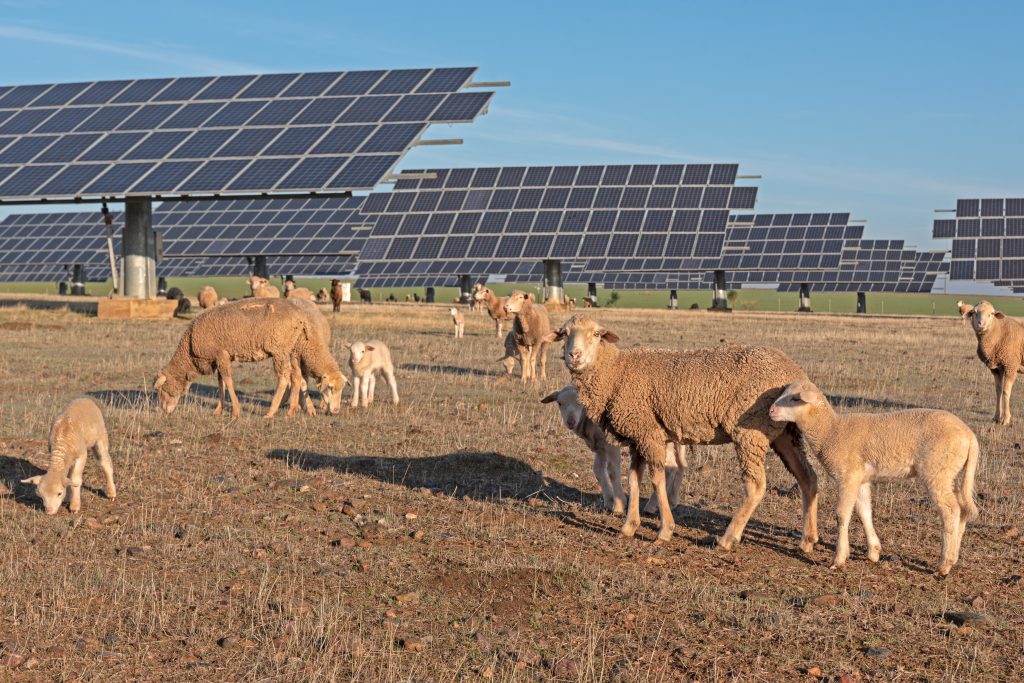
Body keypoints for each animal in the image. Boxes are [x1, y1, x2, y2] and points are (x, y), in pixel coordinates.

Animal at [154, 298, 309, 419]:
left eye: (161, 389)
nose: (164, 410)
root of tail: (301, 316)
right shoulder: (219, 358)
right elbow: (221, 382)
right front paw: (219, 410)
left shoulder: (221, 354)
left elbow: (228, 381)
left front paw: (235, 411)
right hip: (292, 349)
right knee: (296, 375)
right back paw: (291, 411)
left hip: (279, 350)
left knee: (284, 377)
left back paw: (271, 412)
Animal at [541, 385, 687, 515]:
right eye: (560, 403)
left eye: (580, 402)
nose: (570, 422)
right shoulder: (600, 446)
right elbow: (598, 470)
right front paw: (609, 501)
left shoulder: (610, 444)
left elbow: (612, 471)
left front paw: (619, 505)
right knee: (681, 465)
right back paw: (672, 501)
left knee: (670, 467)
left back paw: (651, 505)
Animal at [769, 380, 979, 575]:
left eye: (795, 399)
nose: (771, 411)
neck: (831, 431)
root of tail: (970, 437)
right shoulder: (861, 479)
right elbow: (864, 512)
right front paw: (873, 551)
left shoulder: (848, 476)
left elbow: (842, 515)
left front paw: (838, 559)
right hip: (953, 473)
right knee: (962, 509)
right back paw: (954, 557)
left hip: (937, 470)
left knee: (950, 511)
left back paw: (944, 564)